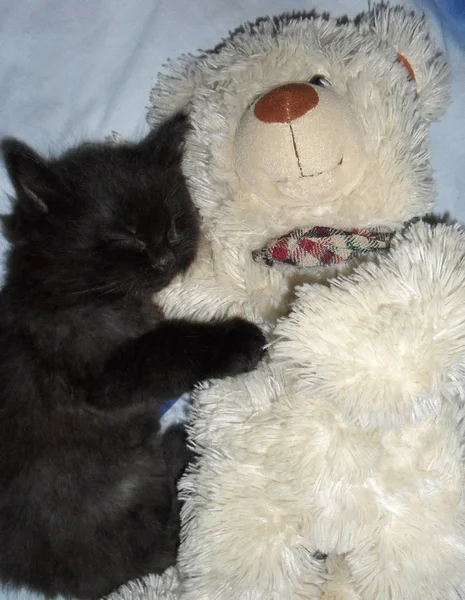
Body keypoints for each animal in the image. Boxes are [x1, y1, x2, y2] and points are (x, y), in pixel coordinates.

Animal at [0, 113, 264, 600]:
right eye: (125, 235)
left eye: (175, 225)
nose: (164, 258)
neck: (68, 288)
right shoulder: (98, 372)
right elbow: (167, 345)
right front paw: (237, 341)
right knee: (156, 551)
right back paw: (180, 448)